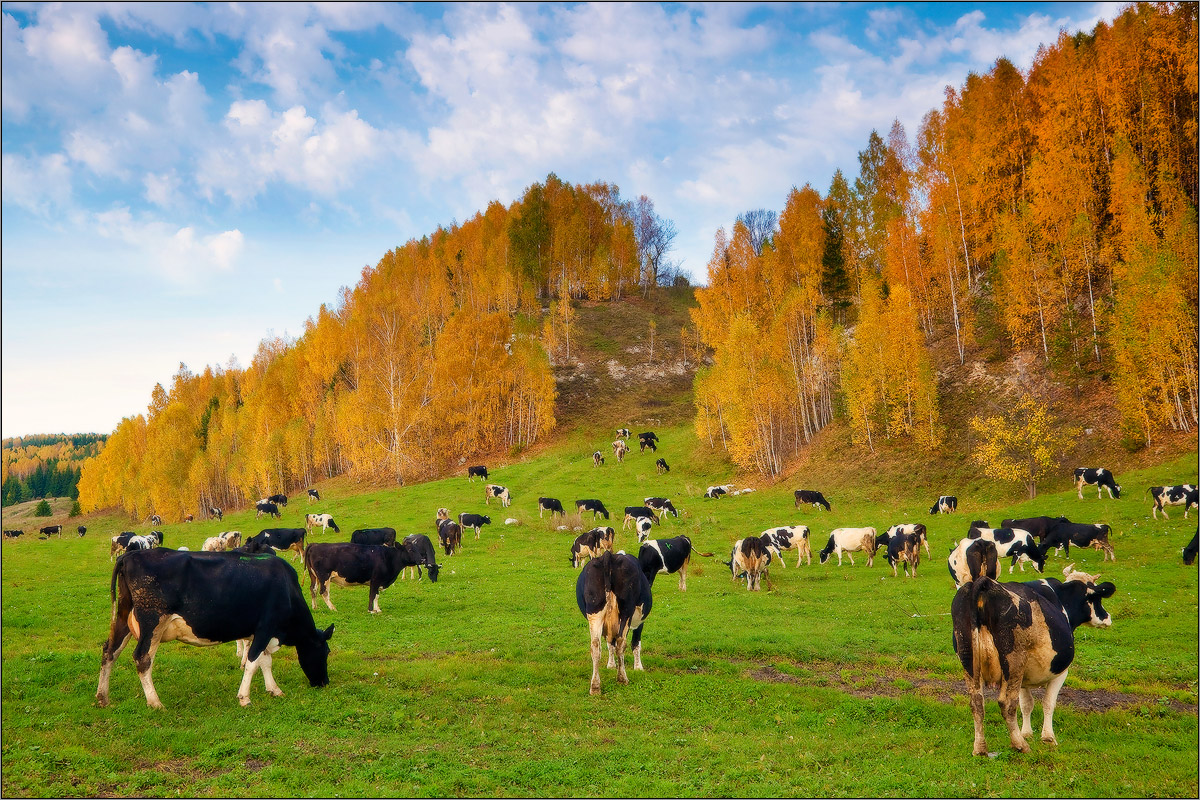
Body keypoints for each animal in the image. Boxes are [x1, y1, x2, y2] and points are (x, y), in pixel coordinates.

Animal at [94, 551, 333, 705]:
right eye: (325, 652)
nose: (324, 682)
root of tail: (129, 556)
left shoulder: (261, 632)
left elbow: (265, 661)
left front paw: (274, 689)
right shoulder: (266, 626)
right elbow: (253, 662)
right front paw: (244, 698)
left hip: (124, 617)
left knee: (110, 651)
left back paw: (103, 697)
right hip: (152, 620)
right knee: (142, 658)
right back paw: (155, 702)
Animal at [304, 542, 432, 618]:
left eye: (417, 549)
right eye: (410, 550)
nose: (422, 559)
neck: (387, 557)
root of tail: (315, 544)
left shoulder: (378, 582)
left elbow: (376, 595)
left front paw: (377, 609)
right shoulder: (375, 580)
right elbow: (372, 595)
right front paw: (371, 610)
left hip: (314, 576)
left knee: (313, 589)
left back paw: (315, 607)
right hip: (324, 577)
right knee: (324, 592)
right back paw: (333, 608)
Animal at [576, 551, 652, 695]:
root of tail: (608, 556)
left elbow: (609, 644)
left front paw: (610, 665)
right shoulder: (639, 623)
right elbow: (636, 643)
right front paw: (638, 667)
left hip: (594, 611)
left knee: (595, 646)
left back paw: (595, 686)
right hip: (626, 610)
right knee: (621, 642)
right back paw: (622, 678)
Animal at [950, 566, 1118, 753]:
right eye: (1097, 598)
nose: (1107, 617)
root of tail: (985, 582)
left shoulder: (1023, 678)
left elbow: (1026, 704)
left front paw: (1027, 733)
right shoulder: (1060, 672)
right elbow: (1048, 703)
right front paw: (1048, 737)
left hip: (970, 662)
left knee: (977, 702)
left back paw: (980, 749)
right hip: (1013, 662)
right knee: (1006, 702)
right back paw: (1020, 745)